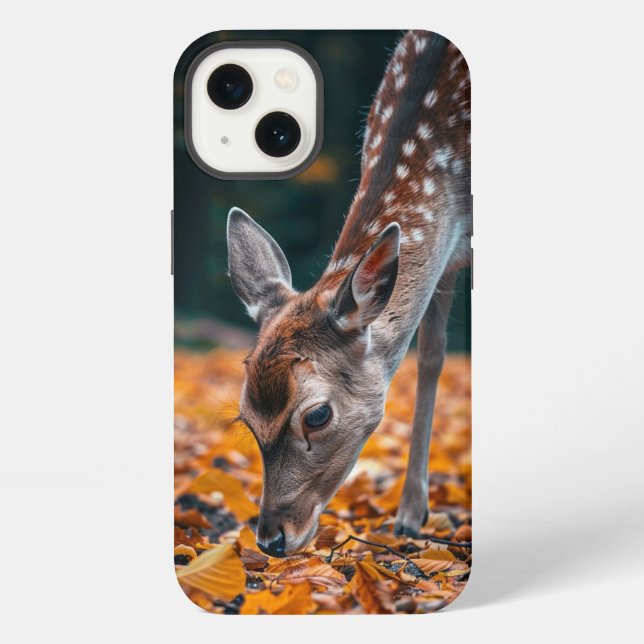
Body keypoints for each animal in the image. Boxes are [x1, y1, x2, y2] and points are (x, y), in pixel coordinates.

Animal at [226, 30, 471, 557]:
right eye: (246, 418)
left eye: (318, 415)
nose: (271, 539)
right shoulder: (446, 257)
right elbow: (432, 356)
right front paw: (411, 515)